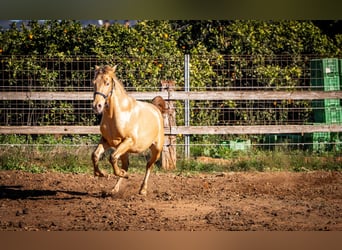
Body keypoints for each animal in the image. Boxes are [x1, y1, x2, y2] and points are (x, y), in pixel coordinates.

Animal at [91, 64, 166, 195]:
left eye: (107, 83)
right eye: (94, 82)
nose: (97, 106)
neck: (115, 114)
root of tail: (156, 109)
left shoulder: (128, 141)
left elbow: (112, 157)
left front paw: (120, 173)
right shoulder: (106, 141)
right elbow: (95, 155)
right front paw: (101, 173)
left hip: (156, 149)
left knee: (149, 165)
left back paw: (142, 189)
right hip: (124, 150)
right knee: (126, 165)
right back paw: (115, 188)